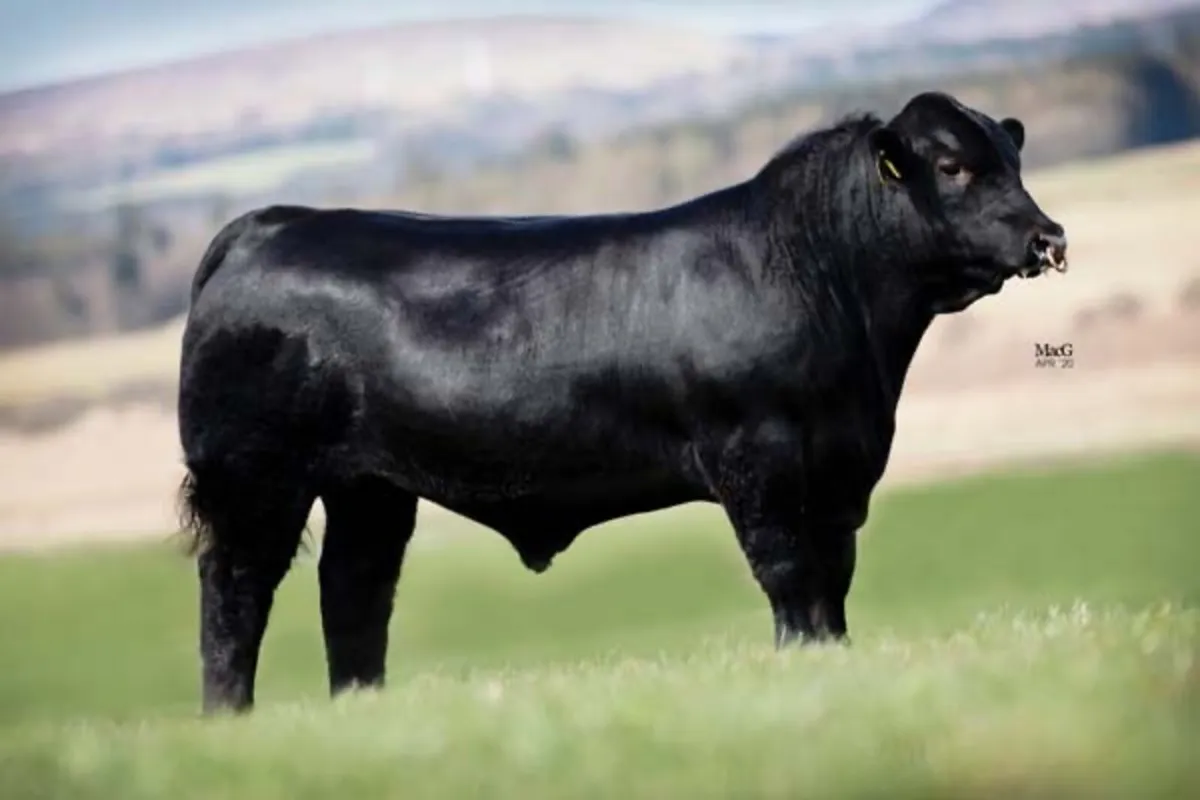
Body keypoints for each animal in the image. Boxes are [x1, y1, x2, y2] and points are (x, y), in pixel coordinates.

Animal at [177, 91, 1068, 714]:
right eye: (952, 167)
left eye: (1014, 162)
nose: (1048, 237)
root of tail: (267, 225)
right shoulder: (760, 456)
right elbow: (788, 571)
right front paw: (799, 662)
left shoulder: (842, 467)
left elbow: (833, 578)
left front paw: (837, 660)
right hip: (255, 478)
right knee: (236, 592)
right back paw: (230, 717)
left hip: (370, 486)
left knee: (354, 590)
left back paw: (360, 707)